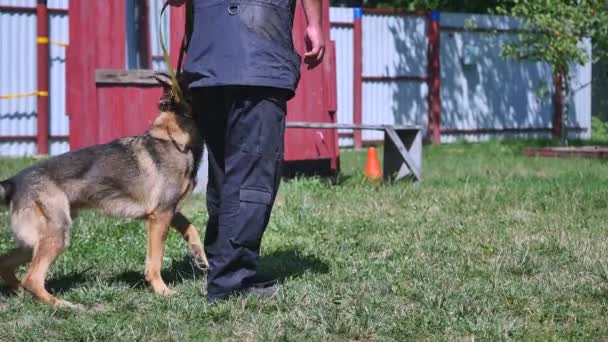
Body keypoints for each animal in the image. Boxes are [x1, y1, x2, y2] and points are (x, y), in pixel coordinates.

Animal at [0, 72, 208, 308]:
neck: (175, 139)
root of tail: (14, 181)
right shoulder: (160, 216)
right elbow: (155, 260)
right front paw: (161, 290)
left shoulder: (168, 211)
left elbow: (190, 226)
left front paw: (200, 255)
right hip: (57, 232)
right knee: (32, 278)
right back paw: (64, 305)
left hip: (33, 241)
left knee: (5, 263)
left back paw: (20, 293)